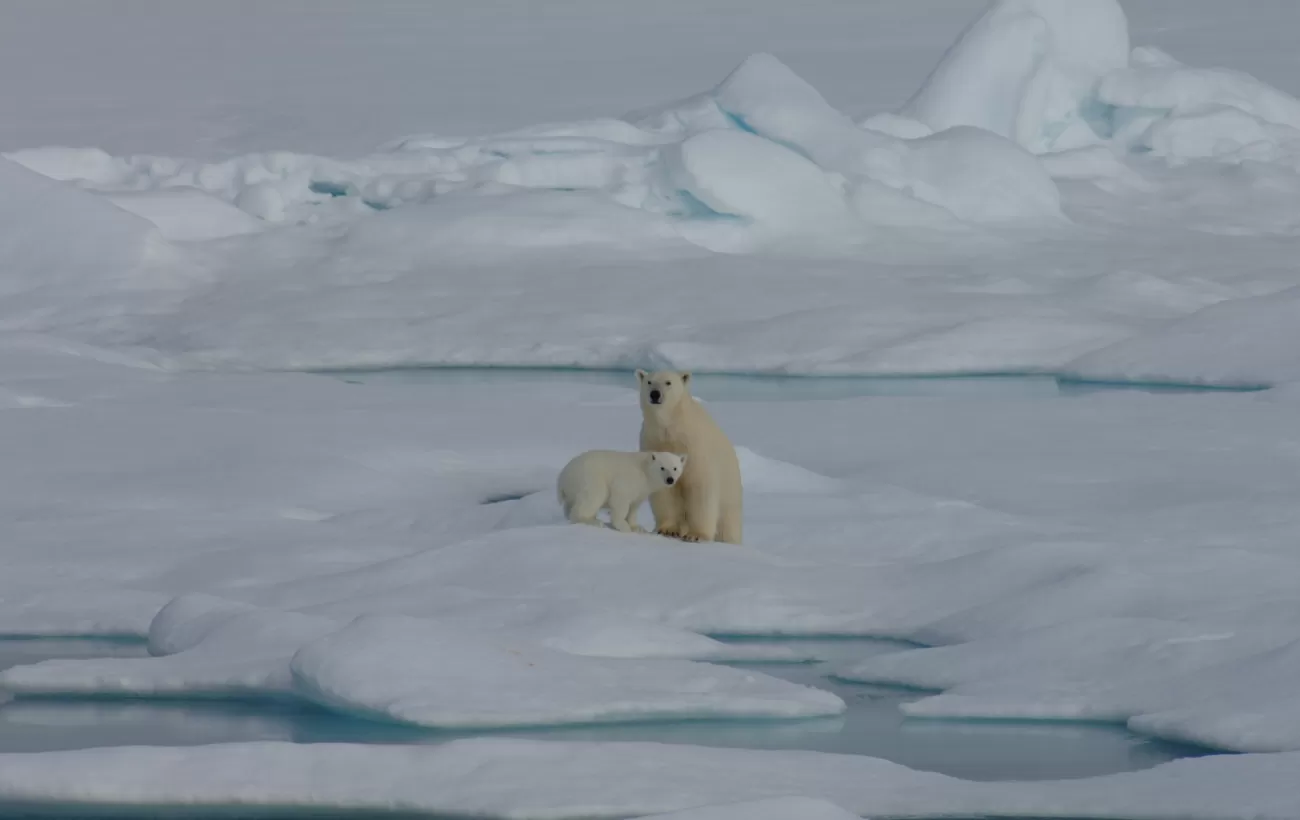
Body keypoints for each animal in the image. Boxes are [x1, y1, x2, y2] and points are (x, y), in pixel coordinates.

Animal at [637, 371, 743, 545]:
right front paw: (668, 530)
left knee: (728, 526)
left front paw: (697, 535)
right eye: (649, 382)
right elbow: (665, 490)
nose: (655, 394)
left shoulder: (695, 447)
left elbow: (700, 488)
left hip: (730, 495)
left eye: (668, 382)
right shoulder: (654, 441)